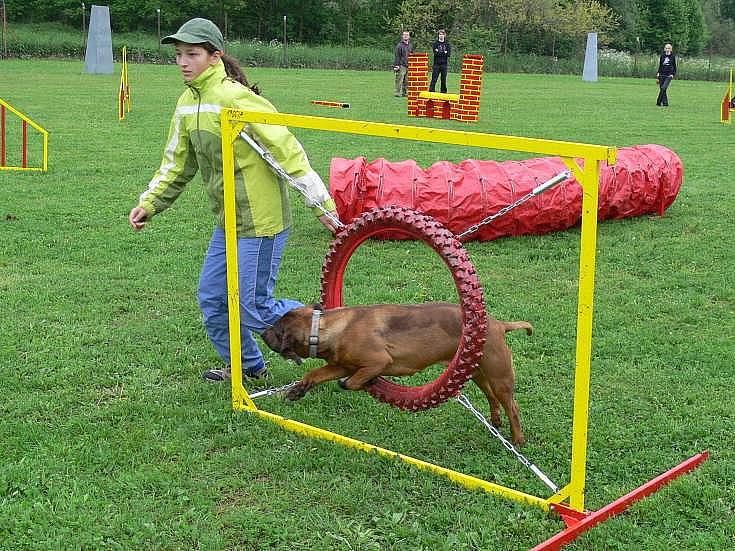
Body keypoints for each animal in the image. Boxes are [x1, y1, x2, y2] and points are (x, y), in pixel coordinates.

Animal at [262, 304, 532, 446]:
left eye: (276, 330)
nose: (262, 332)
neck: (325, 327)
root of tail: (499, 325)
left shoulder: (375, 362)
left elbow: (349, 384)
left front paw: (368, 382)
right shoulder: (341, 365)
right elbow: (315, 373)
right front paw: (297, 390)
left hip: (499, 377)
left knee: (513, 407)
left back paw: (517, 439)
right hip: (478, 374)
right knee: (492, 398)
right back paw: (495, 421)